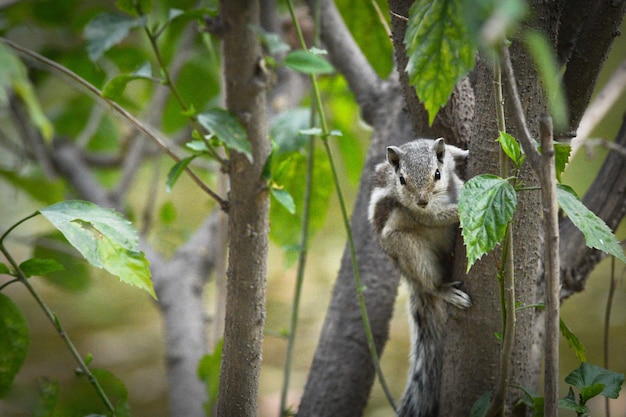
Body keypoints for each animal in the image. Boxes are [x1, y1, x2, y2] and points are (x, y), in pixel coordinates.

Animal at [366, 138, 468, 414]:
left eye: (437, 174)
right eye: (402, 179)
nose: (421, 200)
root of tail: (410, 278)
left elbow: (452, 152)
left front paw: (465, 153)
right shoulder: (419, 213)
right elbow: (436, 217)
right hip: (411, 251)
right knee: (430, 284)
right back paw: (444, 290)